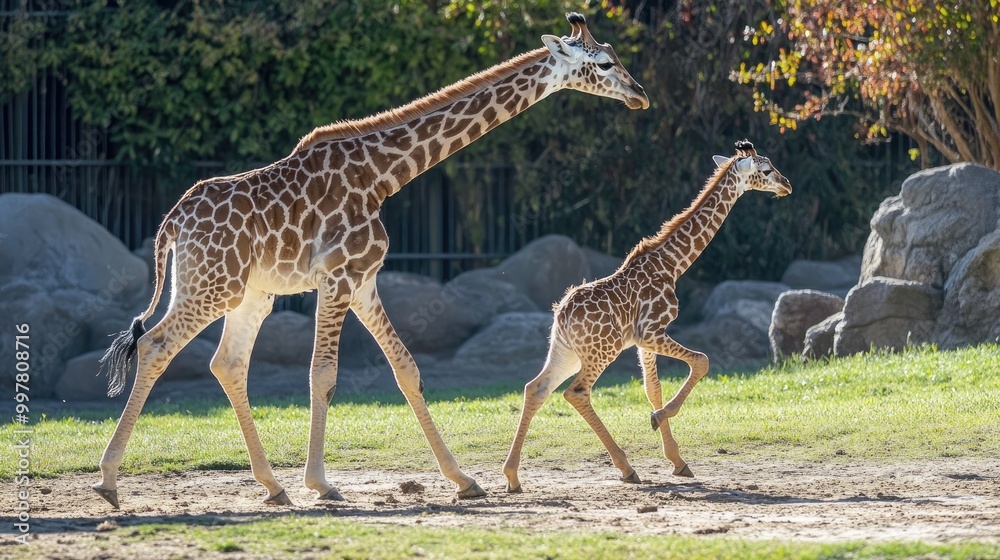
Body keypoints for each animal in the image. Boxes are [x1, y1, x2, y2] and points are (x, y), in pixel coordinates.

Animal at [91, 13, 647, 509]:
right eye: (602, 63)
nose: (639, 94)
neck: (383, 175)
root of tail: (171, 224)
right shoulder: (338, 277)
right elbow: (323, 374)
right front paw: (322, 483)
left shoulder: (363, 282)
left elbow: (406, 369)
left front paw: (464, 479)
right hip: (212, 286)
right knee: (156, 345)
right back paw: (109, 480)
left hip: (250, 294)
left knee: (226, 362)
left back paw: (273, 486)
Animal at [502, 140, 791, 493]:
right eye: (765, 170)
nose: (787, 185)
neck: (672, 264)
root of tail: (562, 317)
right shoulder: (652, 332)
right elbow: (702, 361)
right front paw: (658, 420)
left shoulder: (643, 342)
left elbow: (653, 388)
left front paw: (678, 461)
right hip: (602, 351)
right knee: (576, 392)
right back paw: (626, 468)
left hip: (565, 351)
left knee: (536, 388)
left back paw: (512, 476)